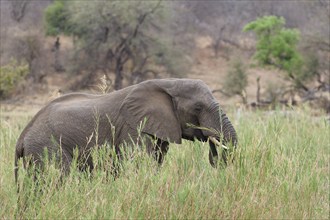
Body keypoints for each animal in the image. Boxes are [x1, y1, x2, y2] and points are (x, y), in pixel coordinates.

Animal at [14, 78, 237, 181]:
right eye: (198, 108)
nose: (211, 139)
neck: (169, 82)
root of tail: (22, 137)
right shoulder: (133, 128)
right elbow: (137, 164)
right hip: (47, 147)